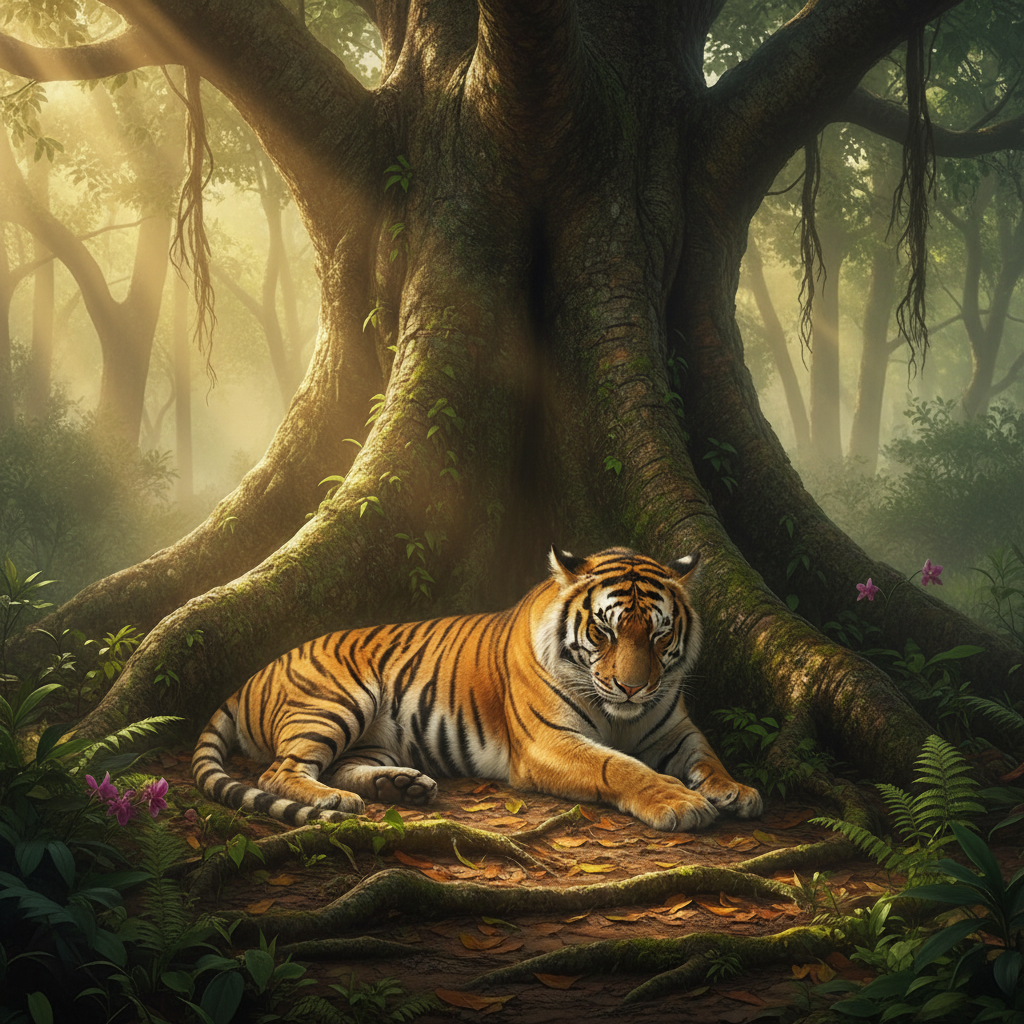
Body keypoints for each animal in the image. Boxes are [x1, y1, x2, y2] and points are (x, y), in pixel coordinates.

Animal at [192, 546, 763, 832]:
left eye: (659, 633)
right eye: (604, 632)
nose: (631, 688)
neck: (623, 716)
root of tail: (252, 675)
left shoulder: (674, 730)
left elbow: (707, 756)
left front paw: (736, 790)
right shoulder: (547, 742)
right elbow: (618, 766)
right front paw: (680, 802)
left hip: (373, 737)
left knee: (342, 766)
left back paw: (400, 786)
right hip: (338, 701)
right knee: (280, 771)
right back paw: (335, 801)